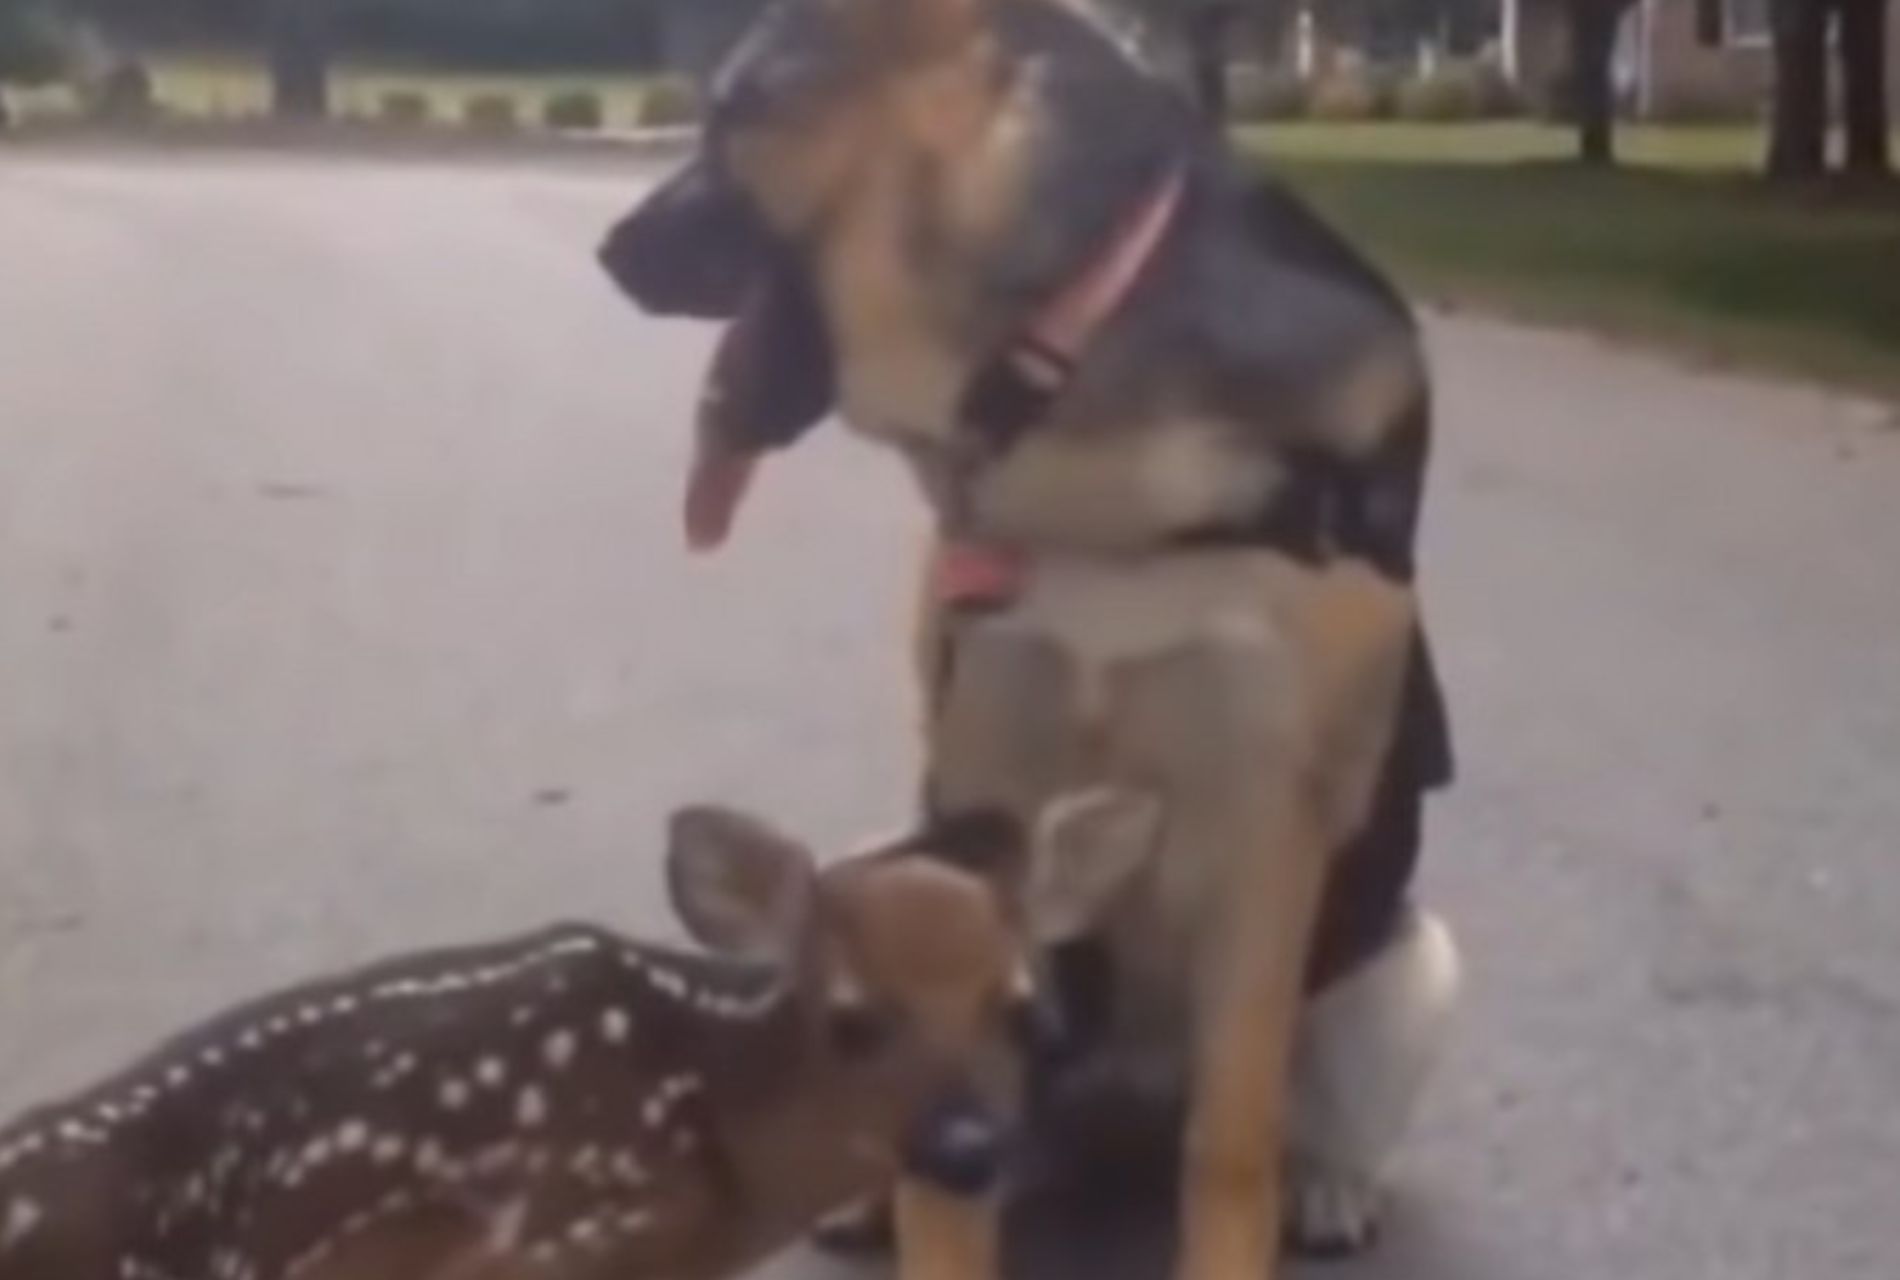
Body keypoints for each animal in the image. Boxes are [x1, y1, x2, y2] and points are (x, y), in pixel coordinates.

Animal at [600, 0, 1459, 1268]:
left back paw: (1328, 1181)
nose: (610, 252)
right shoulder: (975, 771)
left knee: (1295, 1122)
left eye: (733, 115)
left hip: (1410, 961)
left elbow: (1230, 1142)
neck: (1067, 367)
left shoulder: (1266, 831)